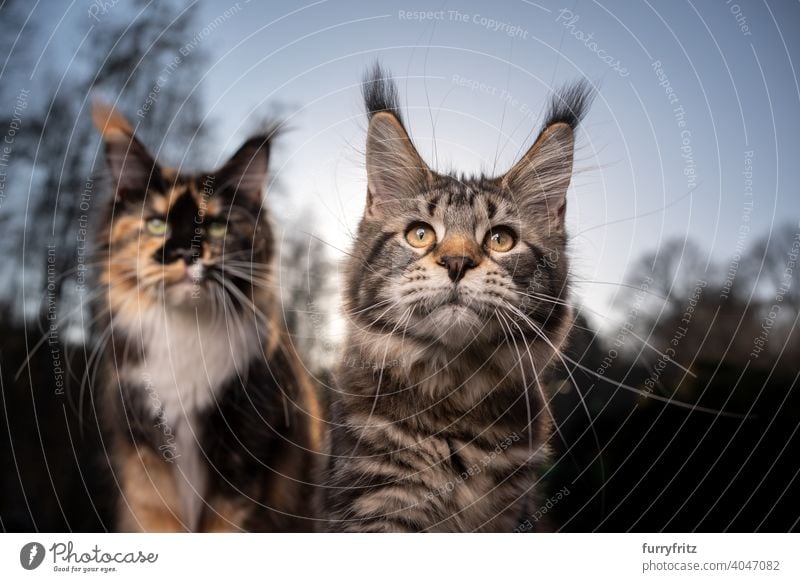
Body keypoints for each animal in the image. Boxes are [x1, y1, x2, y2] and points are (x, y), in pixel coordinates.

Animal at [90, 102, 322, 532]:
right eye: (156, 224)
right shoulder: (145, 458)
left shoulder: (245, 453)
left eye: (214, 226)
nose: (185, 254)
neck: (186, 334)